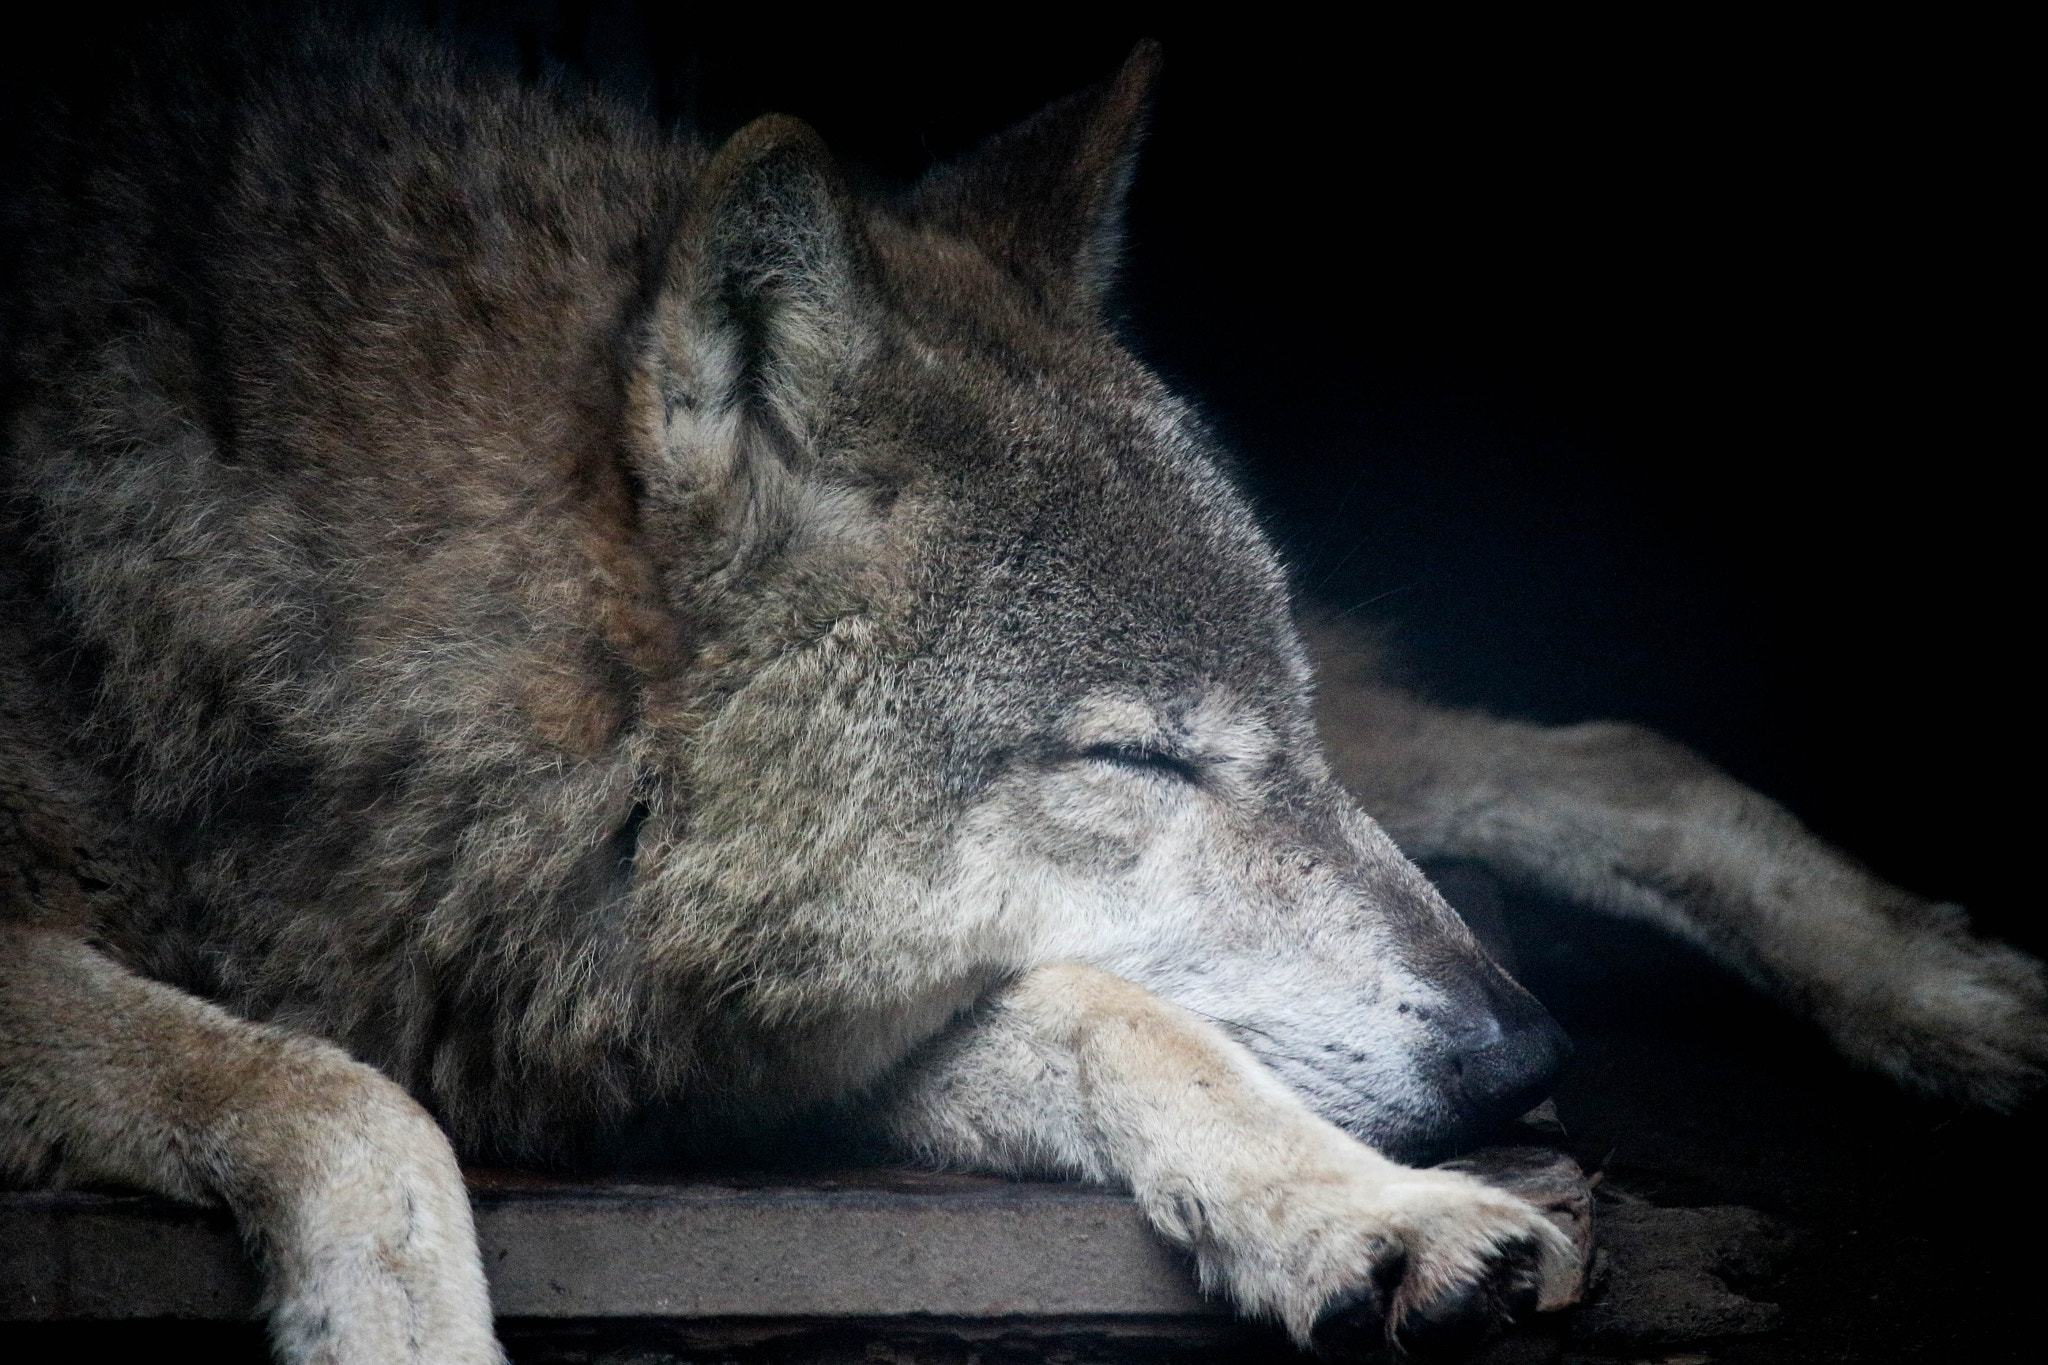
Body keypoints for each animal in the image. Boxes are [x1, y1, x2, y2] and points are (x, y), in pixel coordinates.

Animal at [2, 19, 2043, 1365]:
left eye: (1252, 738)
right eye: (1135, 758)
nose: (1524, 1062)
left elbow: (1115, 1017)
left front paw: (1357, 1213)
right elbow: (343, 1106)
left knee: (1594, 748)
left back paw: (1943, 993)